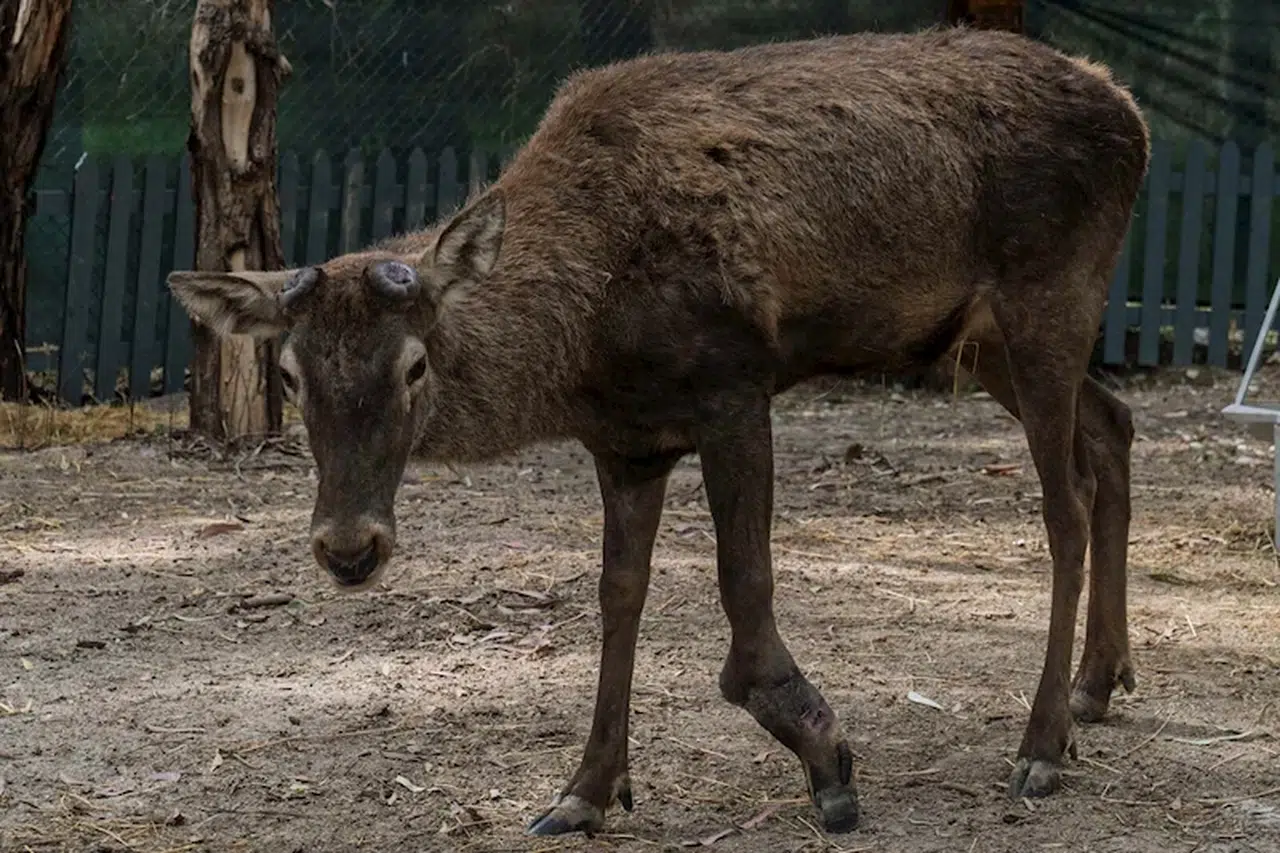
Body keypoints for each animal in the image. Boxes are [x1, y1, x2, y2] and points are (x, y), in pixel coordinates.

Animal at [168, 25, 1150, 837]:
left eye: (415, 365)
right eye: (289, 374)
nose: (348, 547)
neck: (590, 340)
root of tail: (1132, 114)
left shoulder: (735, 386)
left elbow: (743, 581)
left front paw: (826, 755)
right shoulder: (627, 443)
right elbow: (618, 594)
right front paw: (585, 792)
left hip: (1048, 300)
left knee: (1062, 505)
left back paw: (1041, 743)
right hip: (981, 343)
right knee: (1113, 426)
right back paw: (1098, 685)